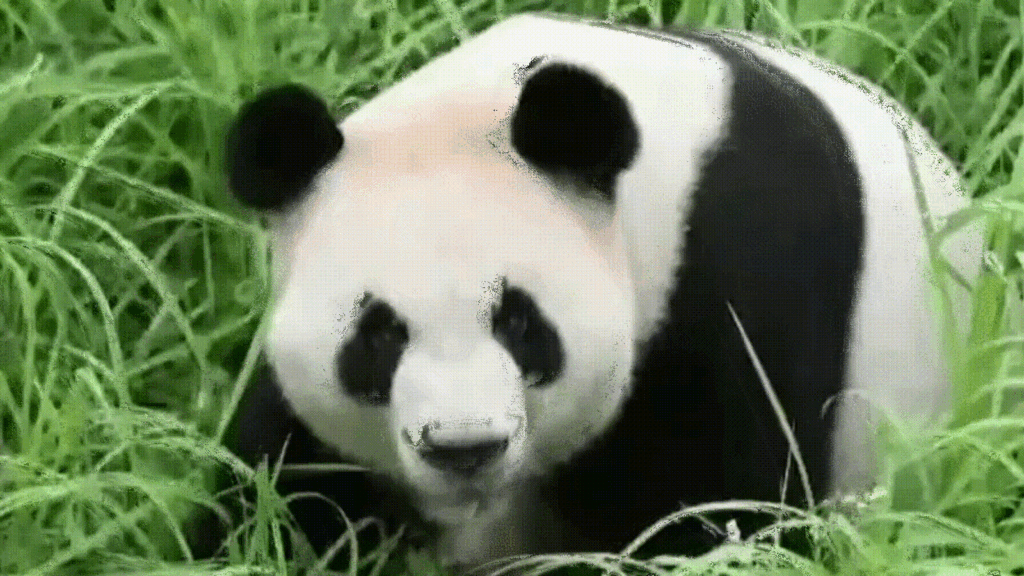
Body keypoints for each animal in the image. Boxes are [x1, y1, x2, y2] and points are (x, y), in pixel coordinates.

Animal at [211, 12, 981, 568]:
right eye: (378, 334)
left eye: (520, 323)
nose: (464, 448)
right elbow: (283, 487)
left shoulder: (738, 278)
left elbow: (718, 509)